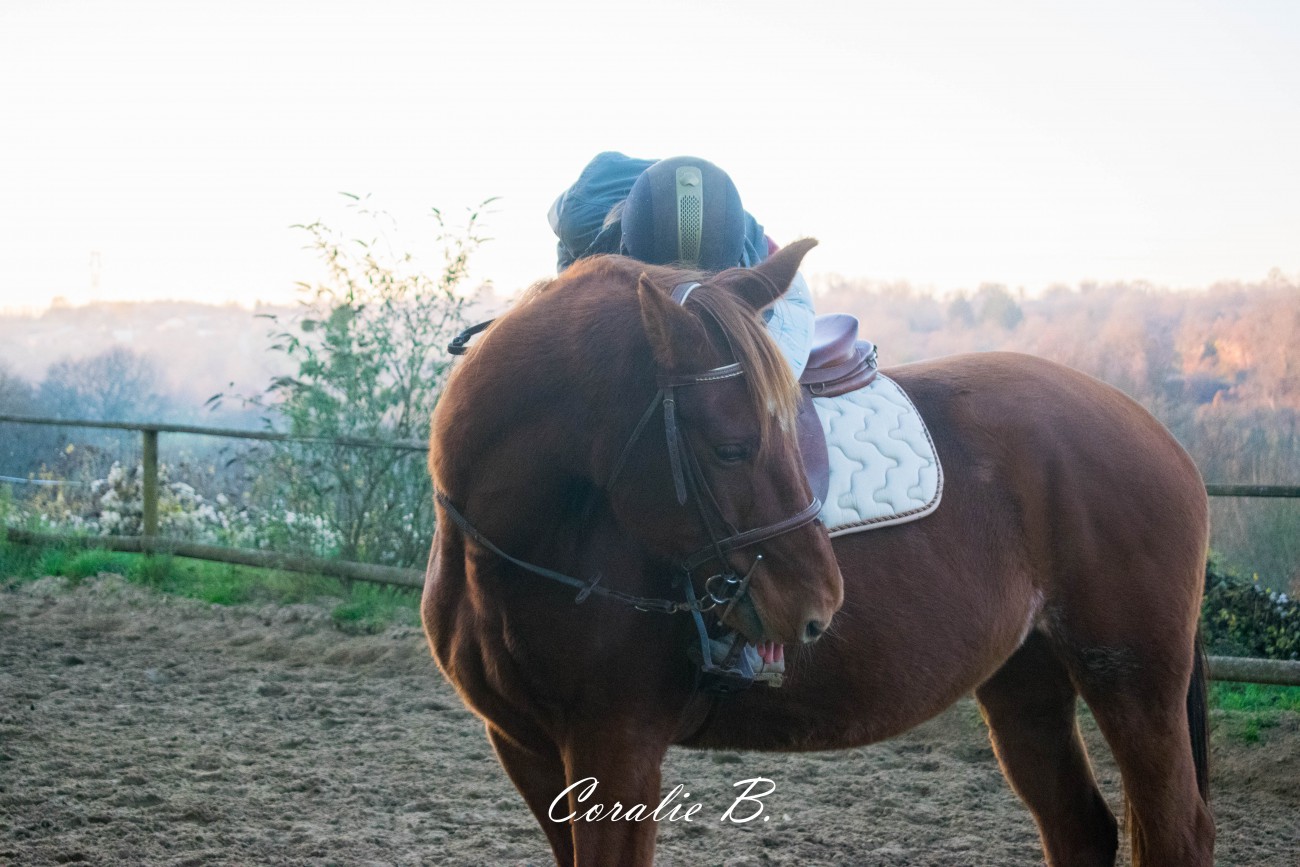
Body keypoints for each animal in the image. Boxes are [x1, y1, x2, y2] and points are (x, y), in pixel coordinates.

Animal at [421, 239, 1211, 867]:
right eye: (732, 447)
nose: (819, 607)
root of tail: (1156, 432)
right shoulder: (527, 749)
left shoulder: (617, 746)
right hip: (1028, 681)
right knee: (1080, 828)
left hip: (1133, 679)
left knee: (1178, 831)